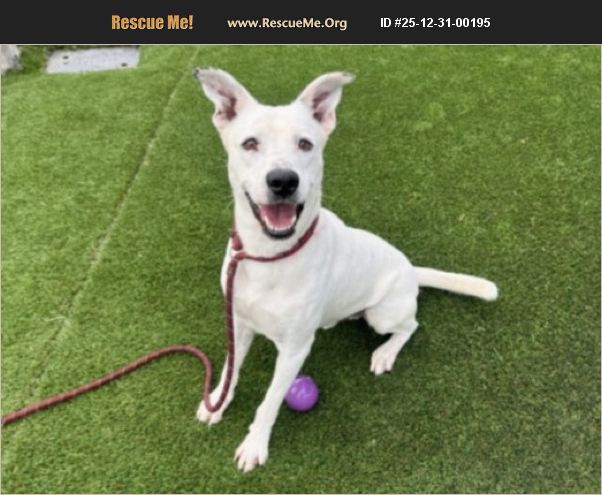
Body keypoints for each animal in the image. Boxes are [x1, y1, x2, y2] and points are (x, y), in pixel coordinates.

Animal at [193, 68, 498, 472]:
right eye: (250, 143)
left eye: (305, 144)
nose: (283, 181)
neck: (269, 256)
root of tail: (410, 268)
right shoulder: (239, 323)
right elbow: (231, 368)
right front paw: (217, 402)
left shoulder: (295, 349)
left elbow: (270, 401)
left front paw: (255, 444)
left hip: (383, 315)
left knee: (410, 326)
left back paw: (385, 353)